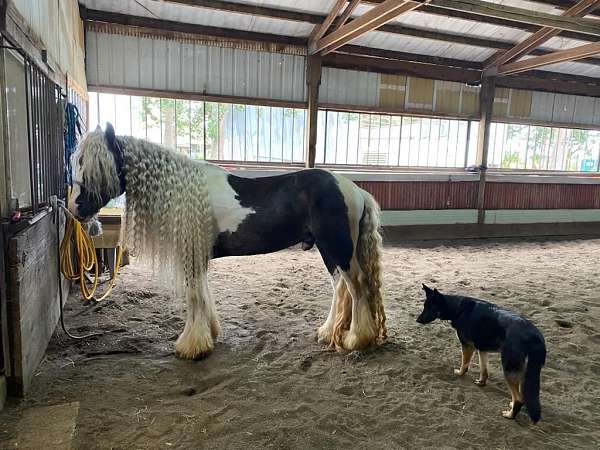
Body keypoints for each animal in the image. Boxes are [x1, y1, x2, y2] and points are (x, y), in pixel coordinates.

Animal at [68, 123, 386, 358]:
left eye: (96, 165)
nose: (75, 207)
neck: (184, 191)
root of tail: (354, 189)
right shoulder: (197, 256)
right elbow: (202, 293)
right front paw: (208, 333)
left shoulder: (192, 255)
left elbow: (194, 296)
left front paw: (191, 346)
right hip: (328, 250)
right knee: (341, 288)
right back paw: (328, 332)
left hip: (338, 247)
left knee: (357, 287)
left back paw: (357, 339)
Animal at [414, 284, 548, 422]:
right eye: (424, 306)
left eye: (430, 308)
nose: (417, 320)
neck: (458, 308)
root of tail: (536, 336)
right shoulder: (482, 350)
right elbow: (484, 370)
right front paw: (481, 382)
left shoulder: (467, 346)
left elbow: (464, 364)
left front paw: (460, 373)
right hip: (523, 370)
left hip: (509, 368)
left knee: (519, 399)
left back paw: (510, 415)